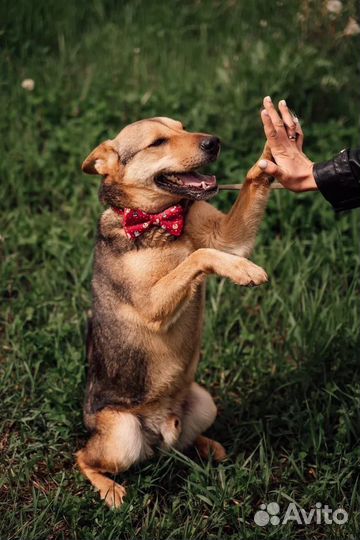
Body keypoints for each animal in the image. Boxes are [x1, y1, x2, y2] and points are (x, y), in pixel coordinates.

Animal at [76, 115, 272, 506]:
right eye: (158, 142)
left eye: (182, 128)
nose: (214, 141)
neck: (162, 221)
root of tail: (161, 430)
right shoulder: (153, 305)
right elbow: (198, 257)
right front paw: (243, 271)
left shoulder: (227, 238)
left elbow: (211, 244)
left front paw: (272, 153)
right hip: (122, 435)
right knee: (83, 457)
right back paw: (110, 490)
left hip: (205, 402)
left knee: (182, 443)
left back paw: (208, 446)